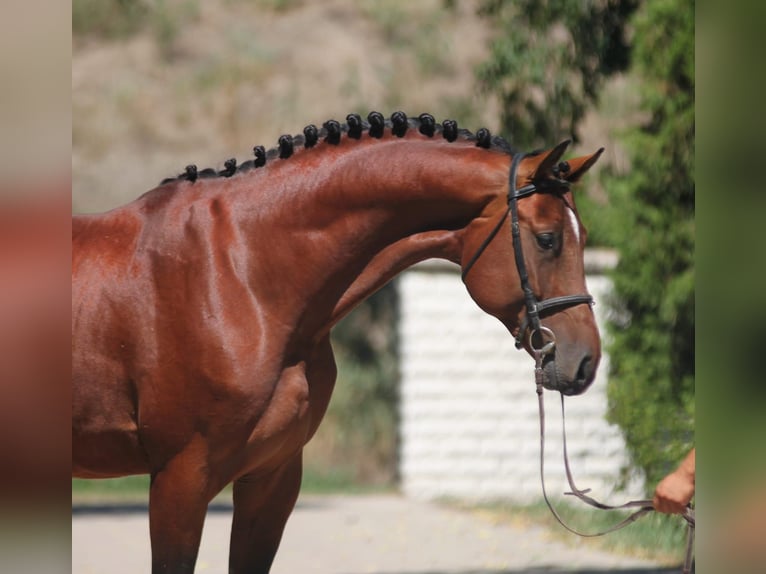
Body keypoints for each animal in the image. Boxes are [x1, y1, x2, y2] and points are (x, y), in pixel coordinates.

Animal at [75, 110, 608, 572]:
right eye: (547, 238)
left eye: (580, 235)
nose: (585, 362)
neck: (242, 276)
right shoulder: (179, 481)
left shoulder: (272, 479)